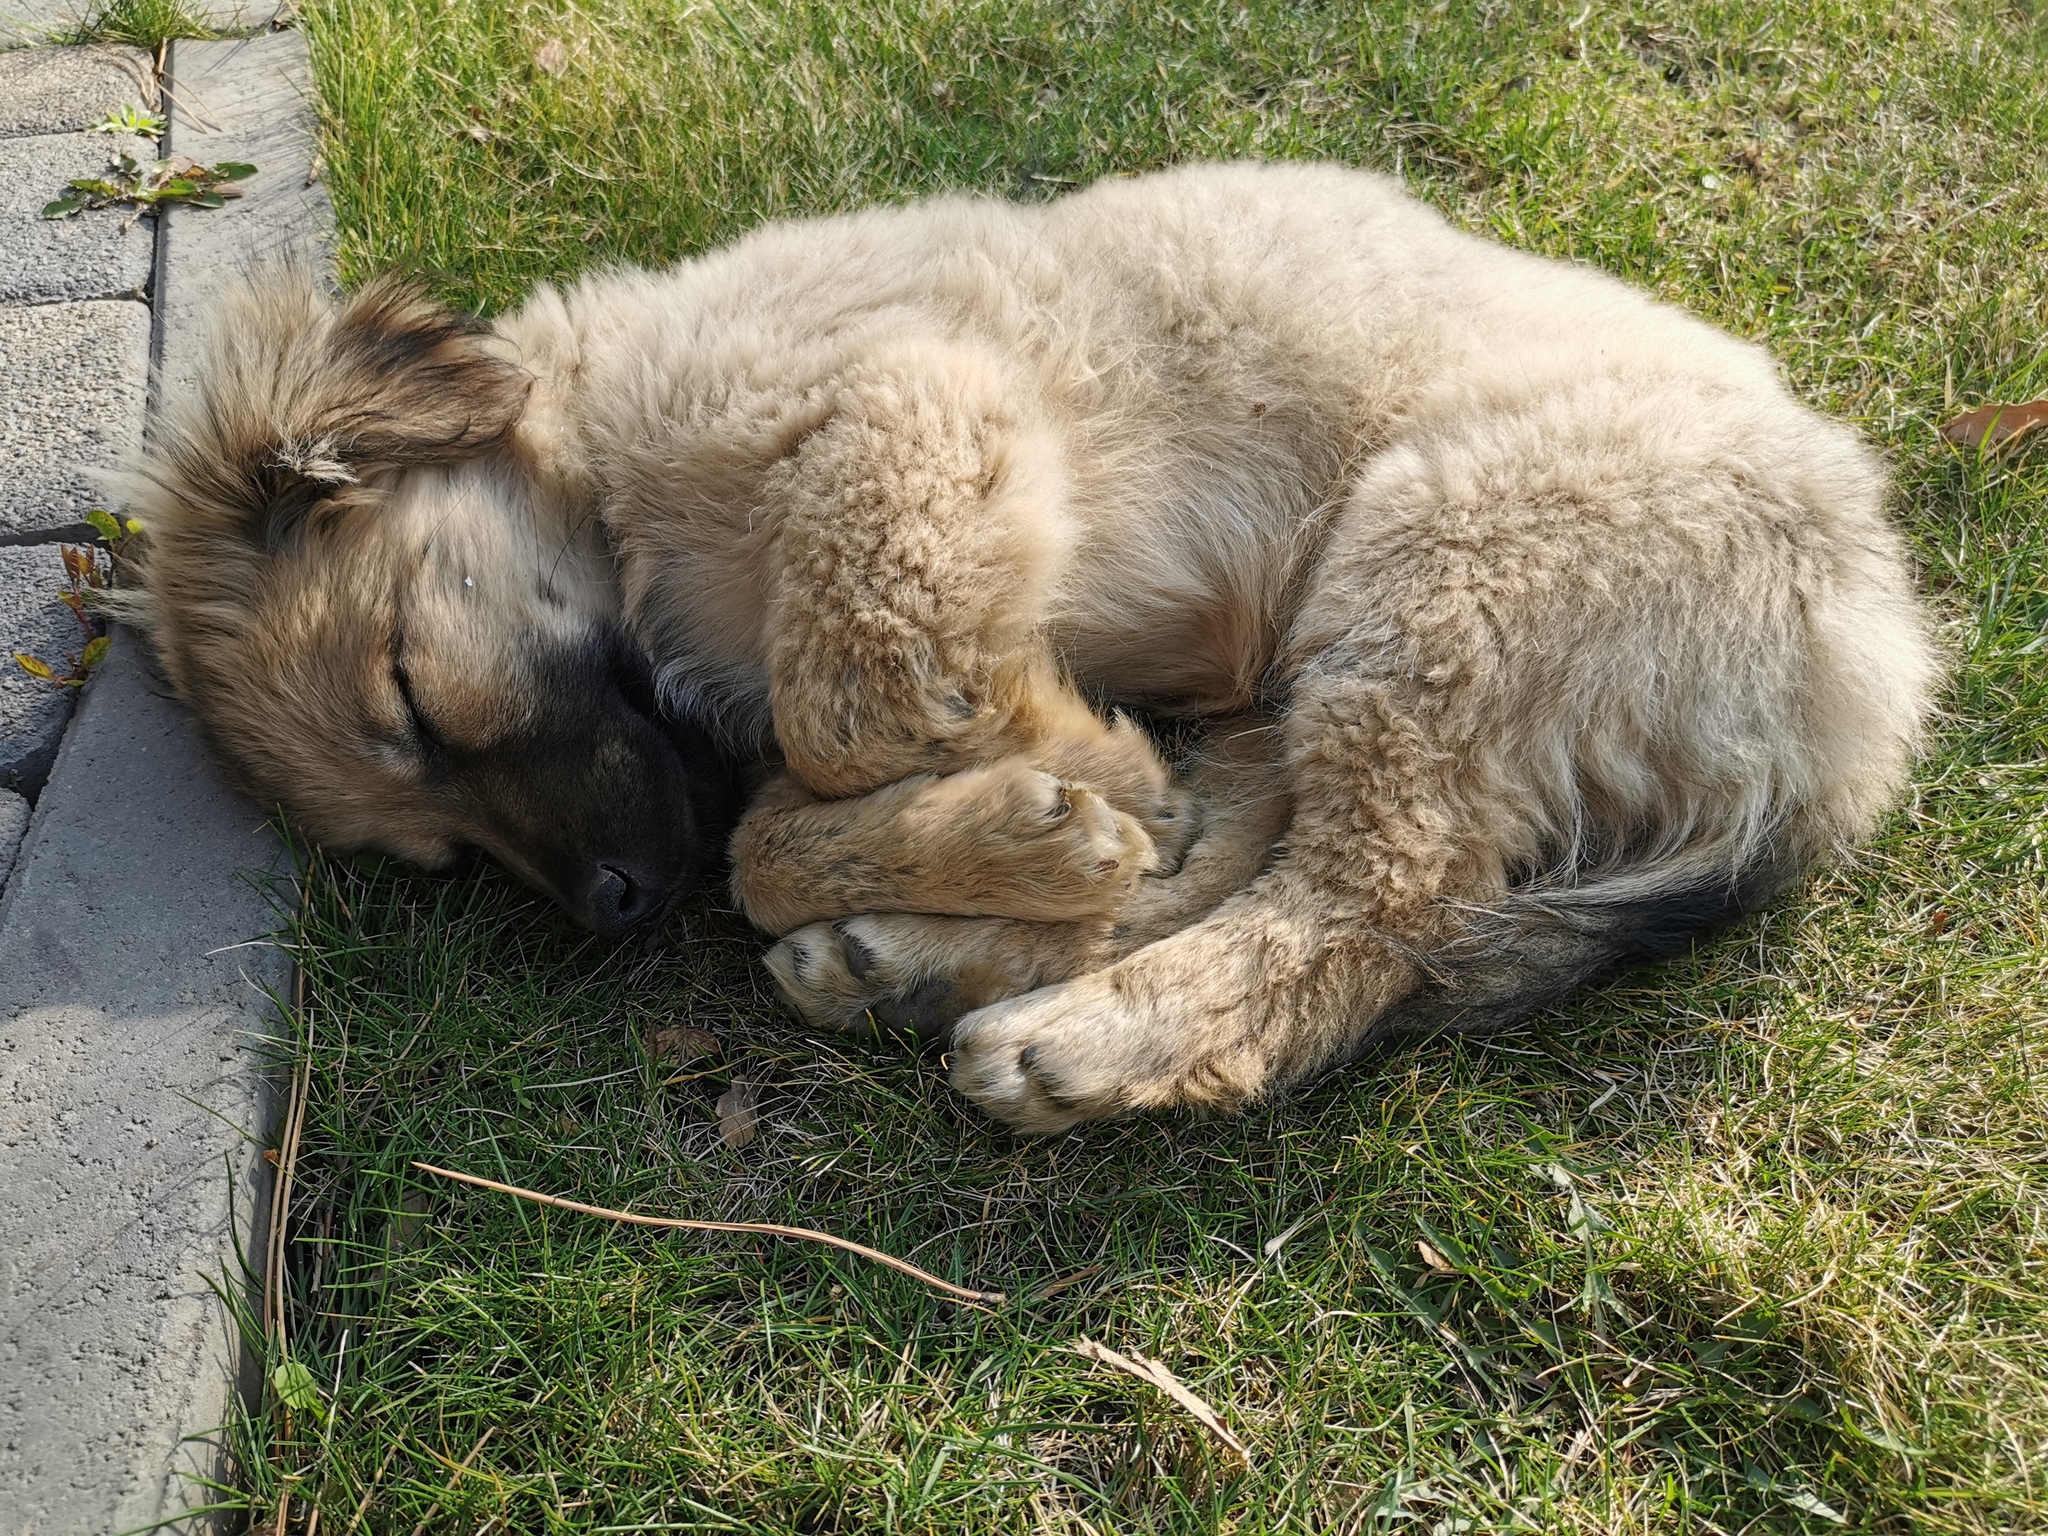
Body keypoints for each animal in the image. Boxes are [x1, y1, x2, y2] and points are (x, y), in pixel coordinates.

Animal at [116, 165, 1933, 1130]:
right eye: (427, 848)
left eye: (413, 694)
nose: (614, 910)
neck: (597, 455)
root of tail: (1873, 652)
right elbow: (768, 831)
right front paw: (1008, 829)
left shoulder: (911, 419)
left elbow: (841, 727)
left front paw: (1036, 774)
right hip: (1340, 660)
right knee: (1251, 858)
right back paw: (938, 961)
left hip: (1446, 564)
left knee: (1374, 902)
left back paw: (1084, 1033)